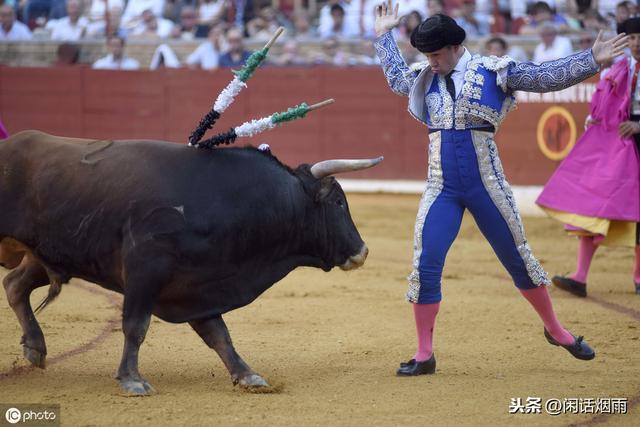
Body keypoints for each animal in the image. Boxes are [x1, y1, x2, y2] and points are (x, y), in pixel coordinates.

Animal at [0, 130, 380, 394]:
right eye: (338, 203)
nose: (362, 251)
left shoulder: (199, 283)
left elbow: (219, 335)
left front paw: (248, 376)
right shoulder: (144, 270)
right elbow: (136, 326)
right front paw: (132, 380)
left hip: (49, 255)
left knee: (15, 284)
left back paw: (35, 348)